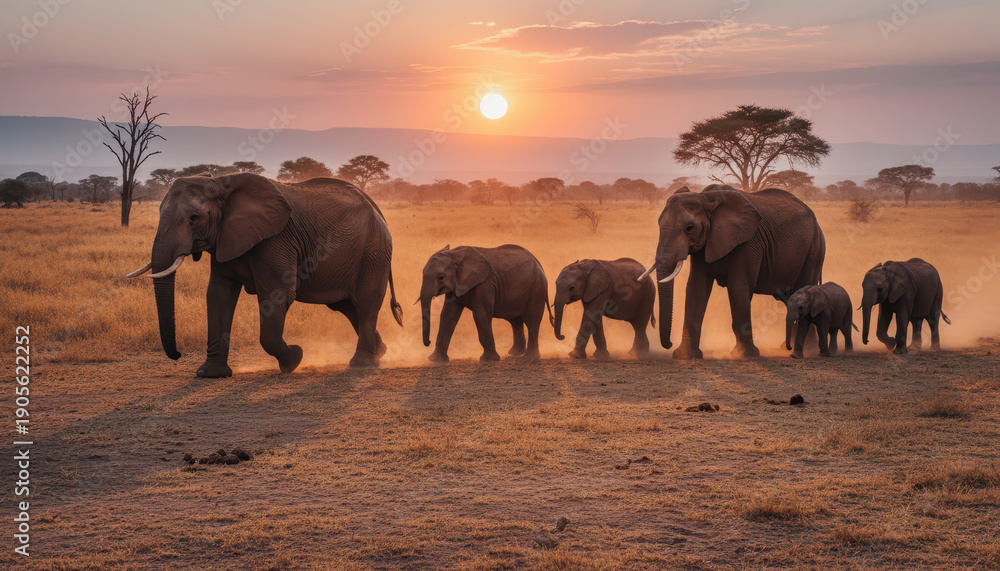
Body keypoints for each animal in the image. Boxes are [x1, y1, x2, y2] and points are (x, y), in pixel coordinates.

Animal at [125, 173, 403, 376]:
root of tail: (375, 206)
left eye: (194, 217)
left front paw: (294, 359)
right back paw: (381, 351)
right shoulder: (226, 238)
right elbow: (219, 295)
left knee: (366, 302)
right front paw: (210, 374)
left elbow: (278, 295)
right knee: (344, 305)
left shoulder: (275, 240)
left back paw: (362, 364)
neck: (221, 182)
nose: (178, 355)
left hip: (375, 249)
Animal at [419, 244, 552, 362]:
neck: (454, 254)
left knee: (532, 321)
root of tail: (538, 263)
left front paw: (488, 360)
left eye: (441, 277)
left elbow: (480, 316)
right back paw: (515, 353)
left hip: (537, 289)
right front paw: (435, 360)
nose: (429, 342)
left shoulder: (484, 285)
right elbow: (447, 317)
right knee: (515, 321)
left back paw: (529, 357)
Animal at [642, 184, 825, 359]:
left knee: (802, 291)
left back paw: (807, 350)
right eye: (659, 224)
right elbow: (696, 290)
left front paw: (743, 355)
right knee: (791, 299)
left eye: (689, 228)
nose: (669, 343)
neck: (706, 198)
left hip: (814, 249)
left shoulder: (748, 242)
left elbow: (738, 288)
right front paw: (686, 356)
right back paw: (789, 347)